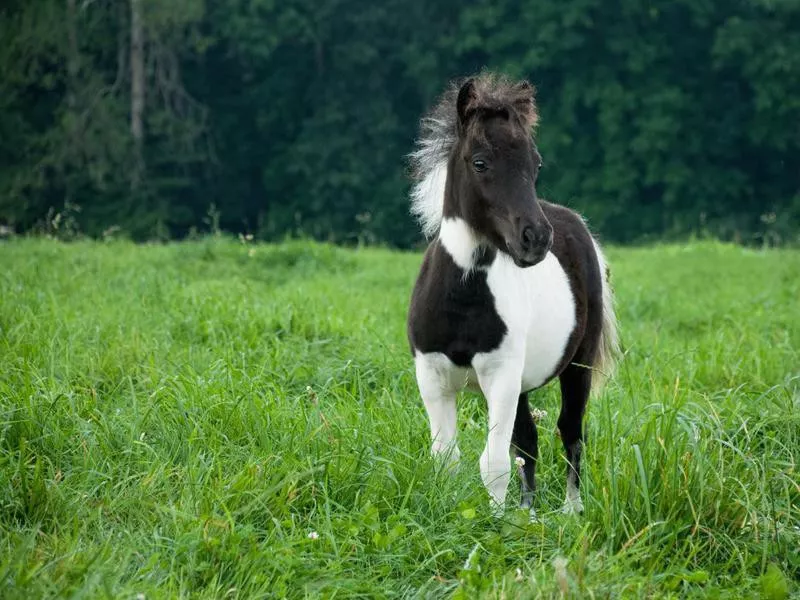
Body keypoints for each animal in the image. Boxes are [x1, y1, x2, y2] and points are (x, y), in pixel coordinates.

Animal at [406, 74, 620, 516]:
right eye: (480, 162)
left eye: (535, 164)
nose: (535, 239)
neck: (462, 300)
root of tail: (575, 223)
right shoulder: (432, 378)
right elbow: (447, 459)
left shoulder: (500, 377)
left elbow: (494, 462)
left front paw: (497, 522)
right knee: (529, 441)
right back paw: (529, 510)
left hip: (577, 366)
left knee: (570, 432)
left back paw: (571, 511)